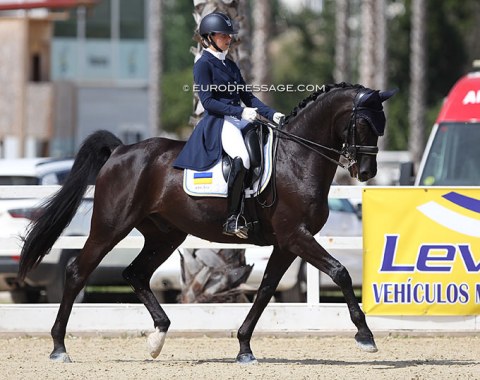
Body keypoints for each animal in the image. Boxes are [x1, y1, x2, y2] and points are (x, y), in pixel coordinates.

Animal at [16, 82, 396, 362]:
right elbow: (340, 272)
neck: (297, 159)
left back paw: (157, 337)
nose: (366, 172)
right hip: (110, 227)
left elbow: (265, 290)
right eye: (364, 123)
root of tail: (122, 150)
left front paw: (244, 347)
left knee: (135, 274)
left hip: (165, 236)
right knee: (77, 272)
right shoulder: (296, 236)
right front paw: (365, 336)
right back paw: (59, 347)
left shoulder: (286, 243)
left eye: (382, 125)